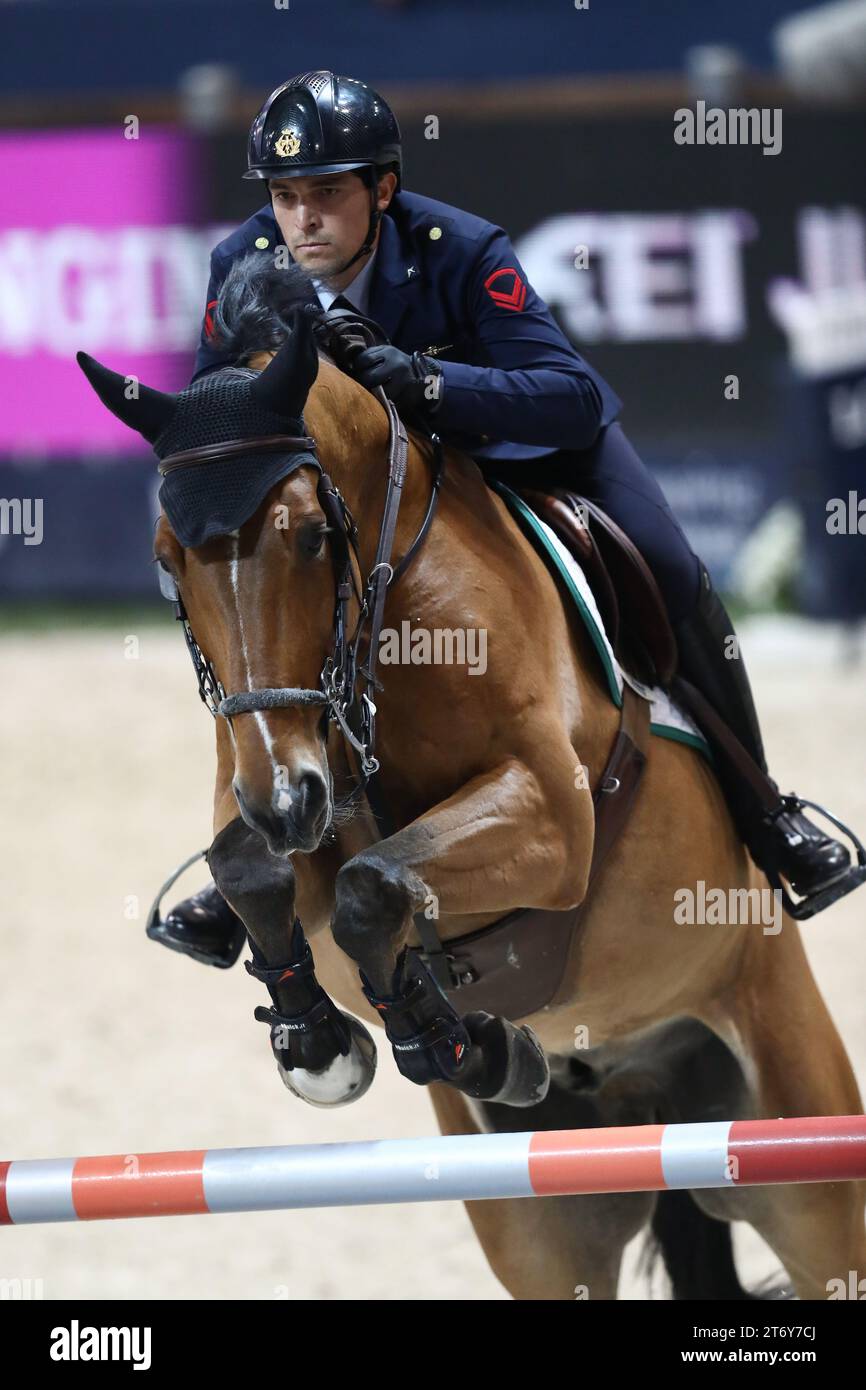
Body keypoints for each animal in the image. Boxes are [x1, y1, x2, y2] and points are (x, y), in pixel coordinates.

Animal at [77, 261, 861, 1301]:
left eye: (311, 538)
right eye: (168, 566)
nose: (289, 801)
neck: (379, 627)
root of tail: (644, 1091)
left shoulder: (552, 818)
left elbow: (374, 883)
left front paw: (451, 1038)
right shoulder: (263, 780)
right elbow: (254, 868)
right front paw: (324, 1039)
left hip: (803, 1158)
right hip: (547, 1230)